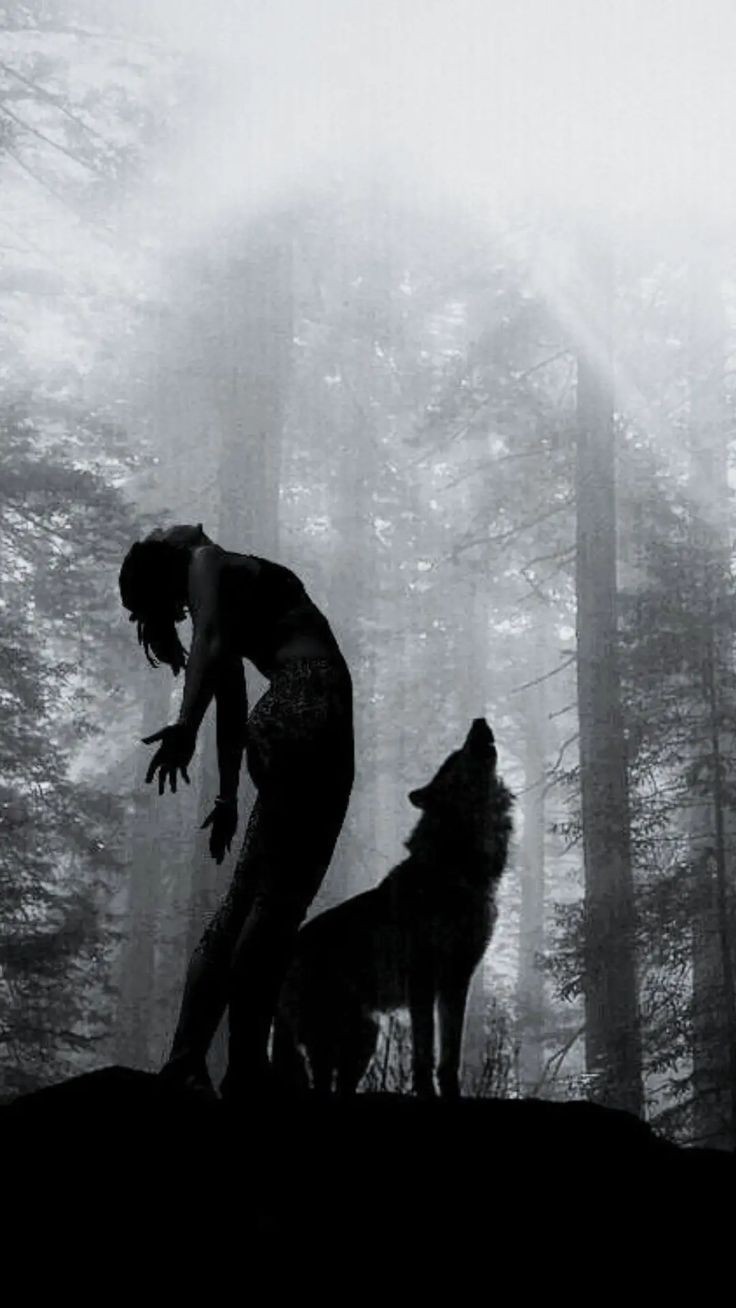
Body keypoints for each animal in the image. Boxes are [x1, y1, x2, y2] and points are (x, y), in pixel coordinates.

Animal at [272, 718, 513, 1099]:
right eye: (455, 757)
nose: (479, 721)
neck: (458, 869)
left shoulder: (457, 979)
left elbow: (450, 1056)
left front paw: (451, 1094)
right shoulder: (422, 979)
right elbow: (424, 1052)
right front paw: (426, 1093)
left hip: (364, 1038)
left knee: (340, 1084)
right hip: (328, 1038)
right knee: (320, 1083)